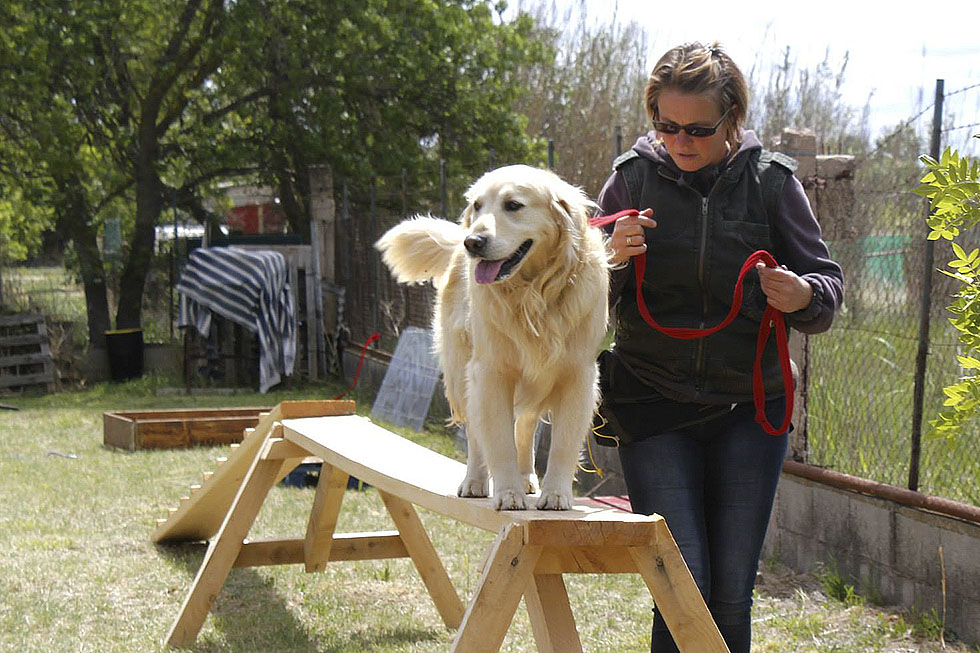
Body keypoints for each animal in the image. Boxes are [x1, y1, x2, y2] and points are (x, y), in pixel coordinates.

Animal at [374, 164, 604, 510]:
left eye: (513, 205)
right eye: (478, 205)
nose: (473, 242)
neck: (533, 293)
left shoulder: (577, 375)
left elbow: (562, 443)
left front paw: (556, 494)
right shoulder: (492, 372)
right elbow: (498, 440)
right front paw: (508, 492)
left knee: (526, 426)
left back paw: (527, 477)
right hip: (462, 372)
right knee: (475, 433)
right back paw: (475, 482)